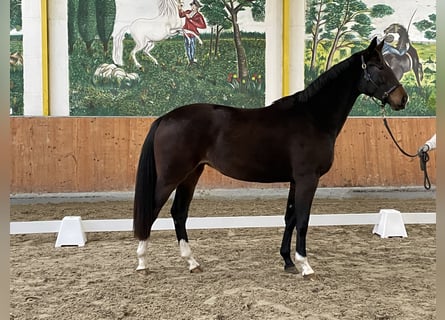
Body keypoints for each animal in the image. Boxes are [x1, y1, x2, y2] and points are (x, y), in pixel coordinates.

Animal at [132, 37, 406, 278]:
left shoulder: (296, 180)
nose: (402, 98)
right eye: (380, 66)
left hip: (191, 174)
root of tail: (165, 118)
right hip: (170, 177)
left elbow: (290, 218)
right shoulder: (308, 179)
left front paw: (288, 261)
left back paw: (191, 262)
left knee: (179, 213)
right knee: (152, 212)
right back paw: (142, 263)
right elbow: (303, 220)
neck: (313, 117)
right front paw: (305, 266)